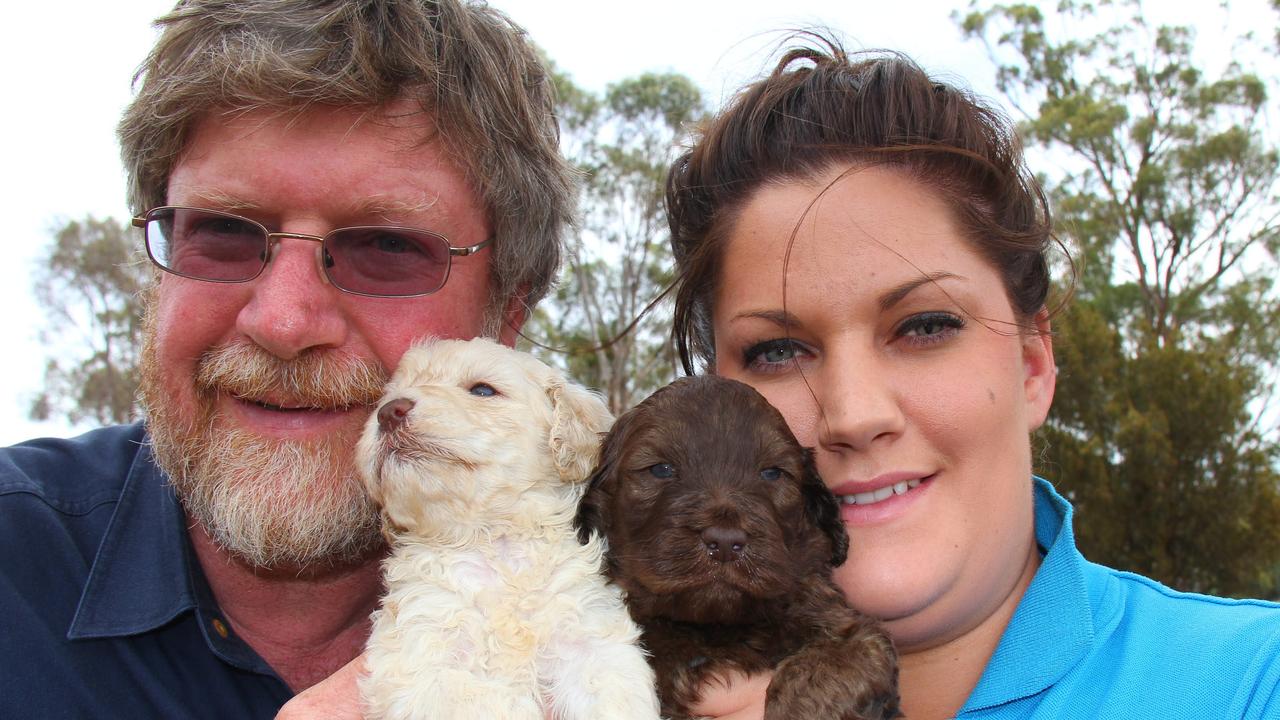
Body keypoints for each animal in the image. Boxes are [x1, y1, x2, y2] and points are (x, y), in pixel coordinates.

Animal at [358, 338, 660, 717]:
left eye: (483, 390)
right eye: (389, 397)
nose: (388, 412)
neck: (495, 539)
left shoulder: (592, 641)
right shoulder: (420, 652)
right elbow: (492, 701)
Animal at [581, 376, 901, 717]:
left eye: (772, 473)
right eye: (661, 469)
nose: (724, 542)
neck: (718, 627)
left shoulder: (847, 627)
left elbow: (829, 666)